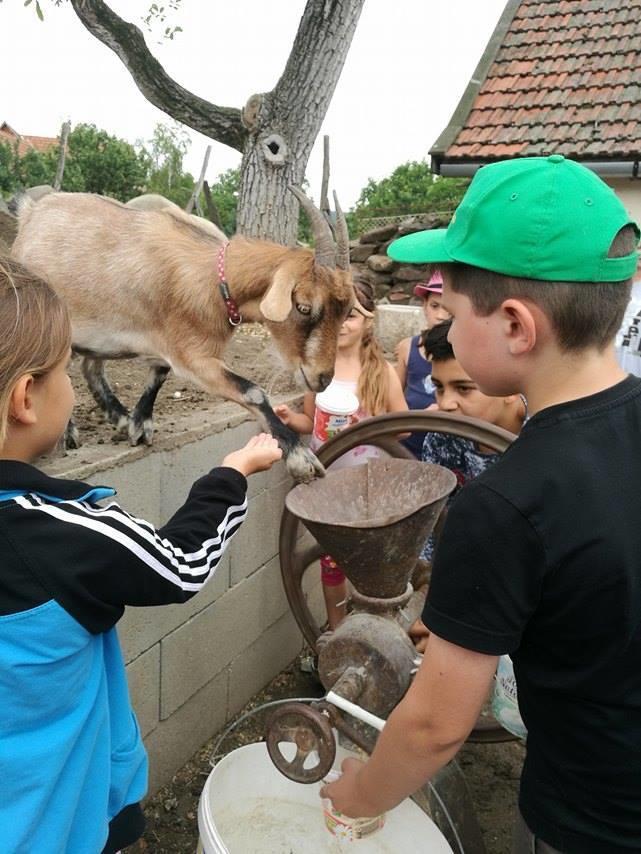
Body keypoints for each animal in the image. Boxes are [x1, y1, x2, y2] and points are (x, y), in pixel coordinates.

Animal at [10, 190, 356, 482]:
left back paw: (118, 417)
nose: (323, 378)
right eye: (303, 306)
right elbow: (252, 391)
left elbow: (159, 373)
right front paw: (301, 457)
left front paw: (138, 424)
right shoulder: (193, 357)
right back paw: (67, 433)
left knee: (90, 367)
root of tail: (30, 214)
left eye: (347, 310)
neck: (215, 280)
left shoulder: (168, 344)